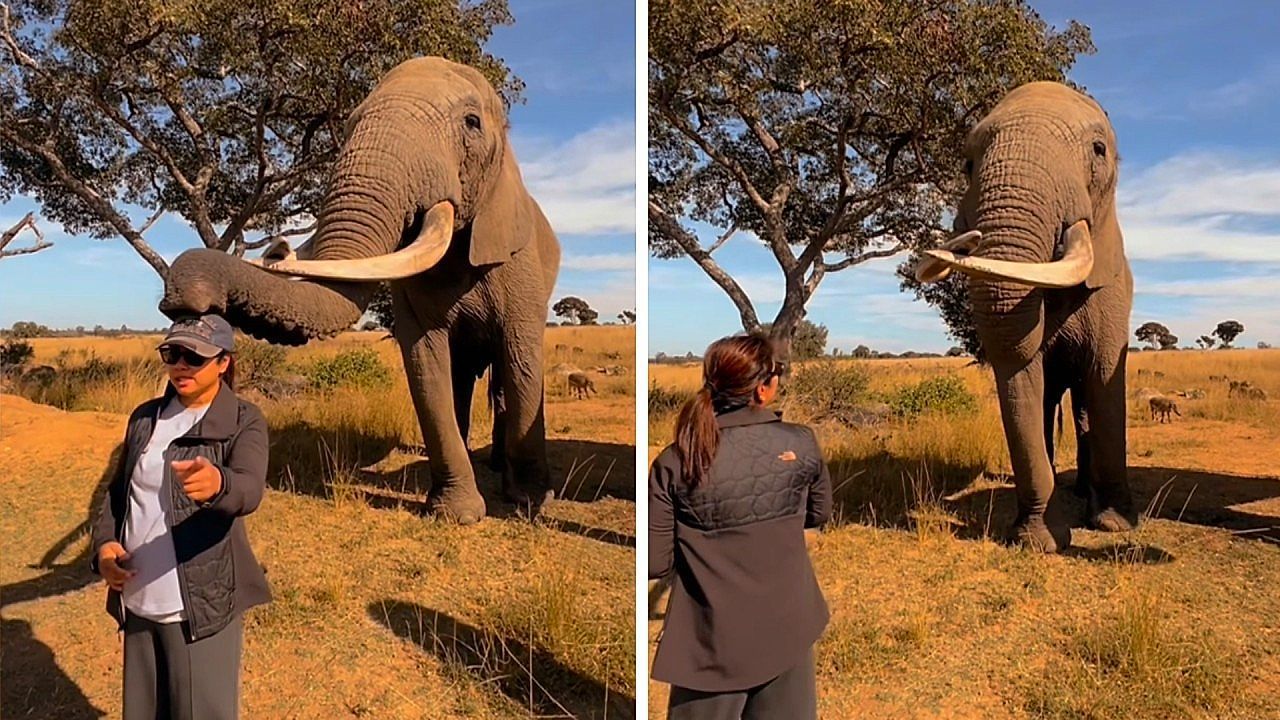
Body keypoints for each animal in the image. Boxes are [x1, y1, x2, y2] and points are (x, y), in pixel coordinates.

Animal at [159, 57, 561, 525]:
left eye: (472, 123)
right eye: (349, 124)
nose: (183, 296)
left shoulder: (519, 263)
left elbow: (521, 359)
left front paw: (528, 503)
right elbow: (426, 364)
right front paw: (453, 514)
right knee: (460, 375)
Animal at [914, 82, 1135, 552]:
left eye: (1098, 149)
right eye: (968, 164)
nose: (969, 237)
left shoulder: (1112, 292)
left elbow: (1104, 374)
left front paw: (1114, 525)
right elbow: (1022, 372)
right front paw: (1036, 540)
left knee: (1084, 405)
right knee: (1050, 401)